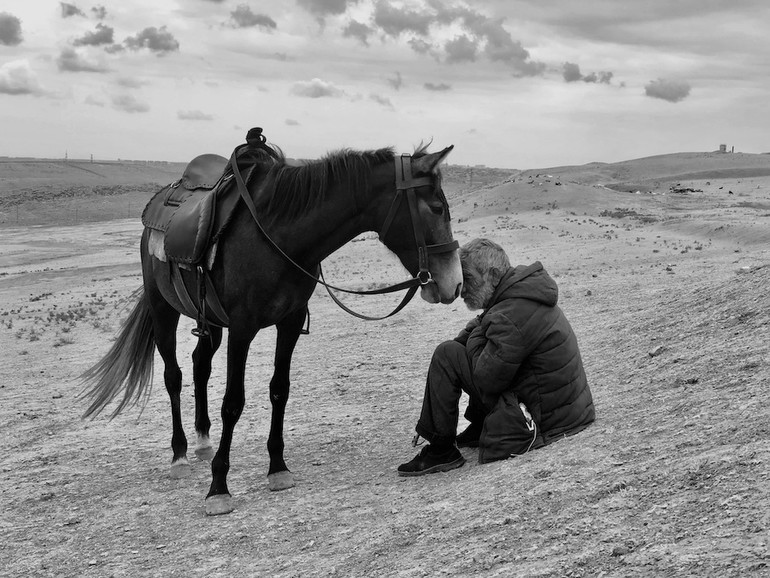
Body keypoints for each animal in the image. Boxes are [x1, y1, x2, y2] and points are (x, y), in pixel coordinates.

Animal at [80, 132, 460, 512]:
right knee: (173, 376)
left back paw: (203, 439)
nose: (454, 283)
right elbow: (232, 403)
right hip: (163, 309)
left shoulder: (289, 323)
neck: (278, 236)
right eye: (437, 208)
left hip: (210, 321)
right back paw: (180, 455)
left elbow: (280, 390)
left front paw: (277, 468)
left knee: (200, 364)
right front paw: (218, 487)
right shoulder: (242, 328)